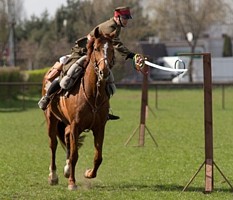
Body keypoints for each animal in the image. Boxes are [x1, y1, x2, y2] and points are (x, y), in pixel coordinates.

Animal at [41, 27, 115, 191]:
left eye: (112, 49)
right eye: (96, 48)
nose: (104, 72)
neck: (93, 95)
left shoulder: (99, 127)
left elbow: (98, 156)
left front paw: (88, 173)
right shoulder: (75, 125)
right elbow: (74, 155)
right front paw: (72, 183)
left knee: (66, 137)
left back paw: (67, 169)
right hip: (51, 120)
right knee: (53, 145)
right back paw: (53, 176)